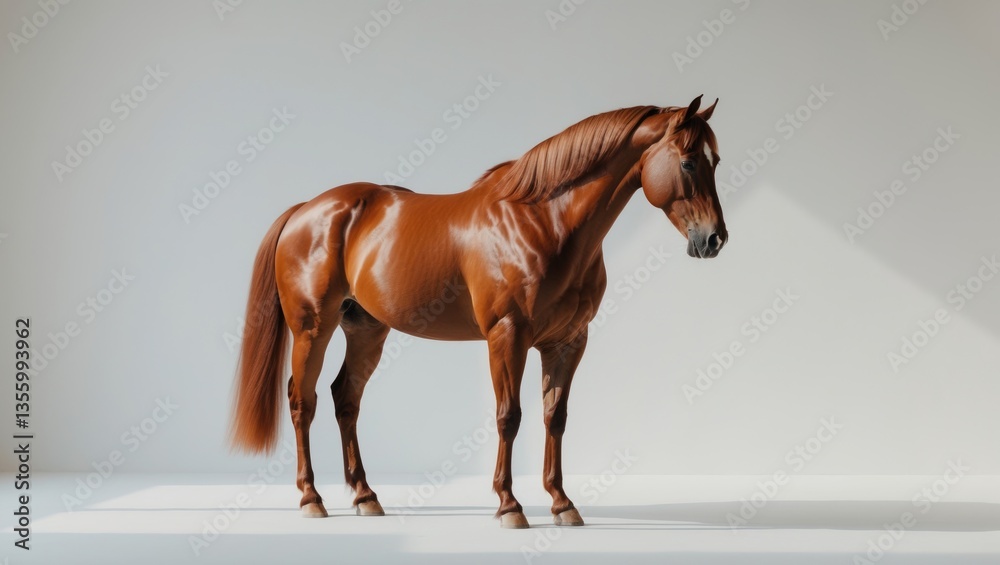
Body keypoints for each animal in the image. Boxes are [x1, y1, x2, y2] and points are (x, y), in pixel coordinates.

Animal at [229, 95, 727, 528]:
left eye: (716, 161)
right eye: (688, 161)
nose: (714, 239)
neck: (545, 221)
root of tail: (306, 210)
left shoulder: (568, 342)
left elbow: (555, 417)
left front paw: (562, 504)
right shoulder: (508, 336)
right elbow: (510, 416)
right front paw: (510, 506)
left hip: (366, 329)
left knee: (345, 398)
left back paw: (365, 497)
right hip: (313, 328)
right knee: (302, 400)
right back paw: (311, 498)